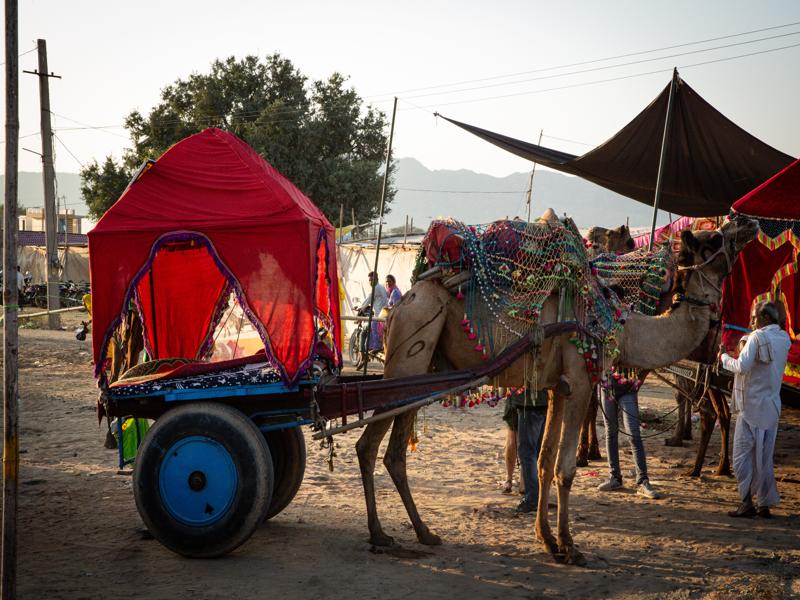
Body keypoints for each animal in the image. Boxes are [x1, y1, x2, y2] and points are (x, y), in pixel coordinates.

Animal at [356, 213, 756, 564]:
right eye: (713, 238)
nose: (747, 221)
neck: (621, 325)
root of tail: (401, 303)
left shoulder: (556, 388)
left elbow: (545, 461)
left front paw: (546, 538)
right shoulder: (579, 381)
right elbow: (565, 469)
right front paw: (569, 546)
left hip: (422, 369)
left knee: (394, 452)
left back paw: (423, 532)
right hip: (411, 349)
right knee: (368, 444)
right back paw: (379, 534)